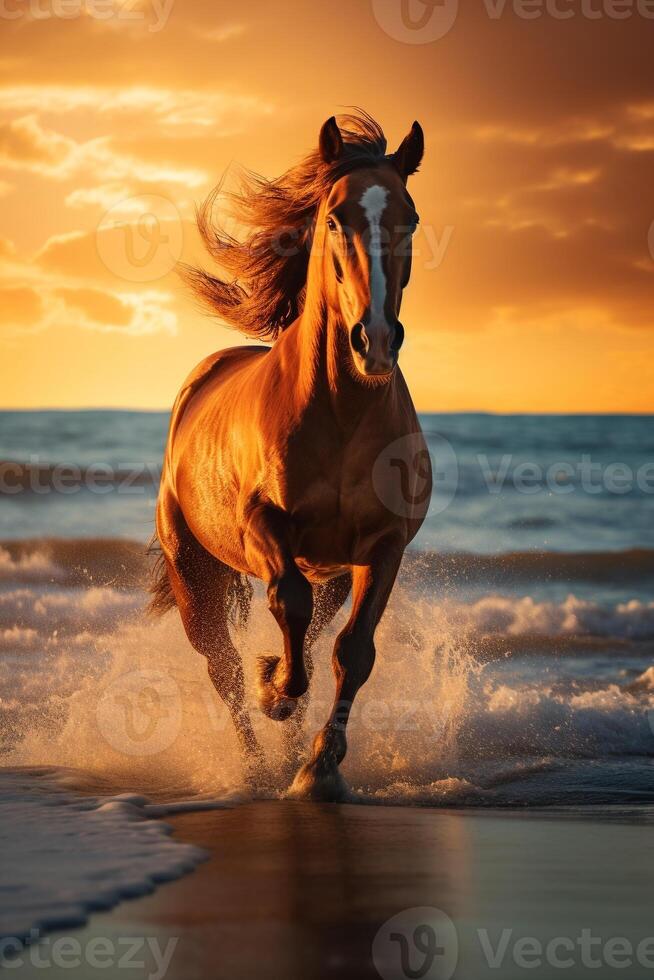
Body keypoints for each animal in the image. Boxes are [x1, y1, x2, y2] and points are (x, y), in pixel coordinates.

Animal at [151, 113, 434, 804]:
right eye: (334, 218)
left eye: (410, 218)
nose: (374, 341)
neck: (342, 413)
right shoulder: (265, 527)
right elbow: (287, 605)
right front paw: (272, 689)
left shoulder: (383, 546)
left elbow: (352, 652)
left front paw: (320, 767)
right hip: (193, 572)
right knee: (222, 667)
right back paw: (256, 765)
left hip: (334, 571)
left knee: (312, 637)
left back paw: (285, 752)